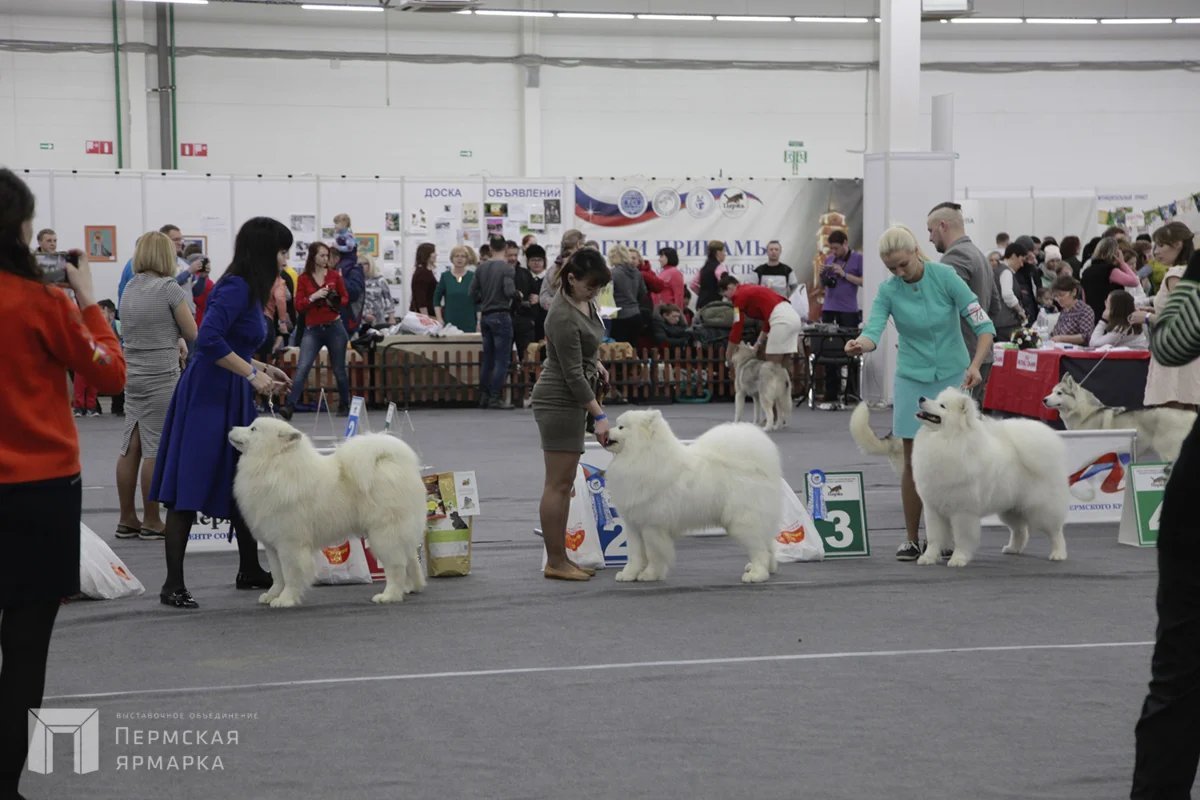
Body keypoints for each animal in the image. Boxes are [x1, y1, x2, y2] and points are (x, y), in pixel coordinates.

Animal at [229, 419, 427, 606]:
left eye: (253, 429)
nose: (231, 428)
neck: (273, 464)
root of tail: (391, 460)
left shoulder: (289, 544)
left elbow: (291, 575)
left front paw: (285, 599)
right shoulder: (272, 546)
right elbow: (278, 576)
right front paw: (272, 595)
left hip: (384, 534)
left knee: (396, 566)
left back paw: (389, 595)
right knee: (411, 559)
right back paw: (411, 587)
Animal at [604, 410, 782, 585]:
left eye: (621, 427)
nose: (605, 432)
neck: (642, 455)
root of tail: (759, 467)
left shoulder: (652, 526)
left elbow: (653, 554)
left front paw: (650, 574)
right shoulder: (634, 524)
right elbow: (634, 554)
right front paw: (628, 574)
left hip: (743, 522)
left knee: (759, 550)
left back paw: (757, 574)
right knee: (768, 545)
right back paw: (768, 568)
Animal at [907, 388, 1070, 568]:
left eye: (942, 406)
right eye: (936, 400)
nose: (921, 398)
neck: (947, 439)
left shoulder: (963, 511)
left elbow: (962, 538)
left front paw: (958, 559)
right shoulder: (933, 509)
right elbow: (934, 538)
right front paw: (928, 558)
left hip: (1041, 508)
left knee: (1055, 531)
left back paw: (1058, 554)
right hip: (1011, 508)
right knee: (1020, 530)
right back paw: (1013, 548)